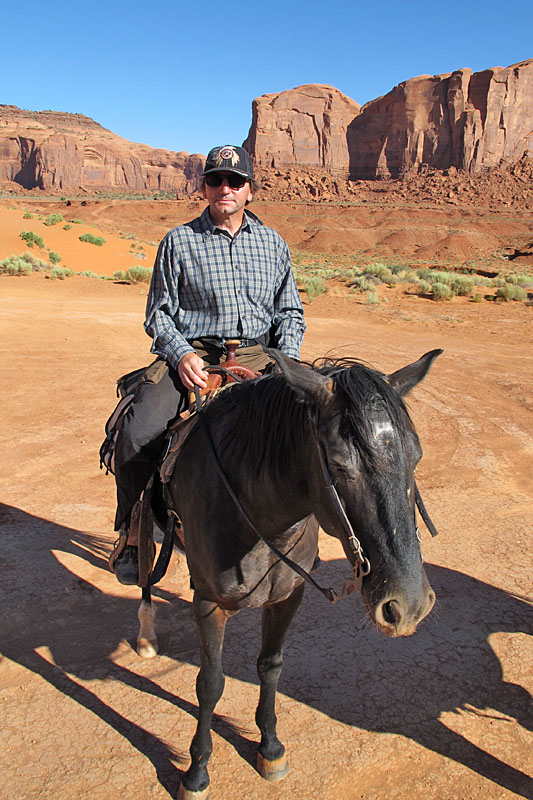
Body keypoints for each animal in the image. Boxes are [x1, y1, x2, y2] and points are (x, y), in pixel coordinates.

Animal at [138, 346, 440, 796]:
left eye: (416, 455)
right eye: (338, 463)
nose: (408, 606)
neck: (260, 517)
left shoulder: (287, 597)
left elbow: (270, 666)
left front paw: (270, 748)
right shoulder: (207, 602)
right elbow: (210, 684)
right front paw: (196, 771)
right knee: (142, 571)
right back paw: (145, 633)